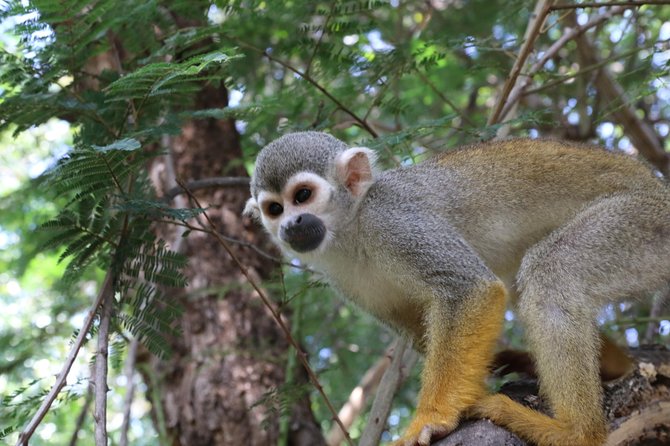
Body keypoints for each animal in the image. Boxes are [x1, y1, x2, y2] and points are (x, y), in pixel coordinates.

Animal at [243, 131, 670, 446]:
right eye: (274, 209)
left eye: (302, 196)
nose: (292, 224)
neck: (352, 230)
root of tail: (656, 184)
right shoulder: (343, 278)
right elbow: (420, 328)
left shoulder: (395, 221)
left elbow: (470, 289)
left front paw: (431, 420)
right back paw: (611, 366)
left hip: (641, 223)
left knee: (552, 274)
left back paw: (576, 433)